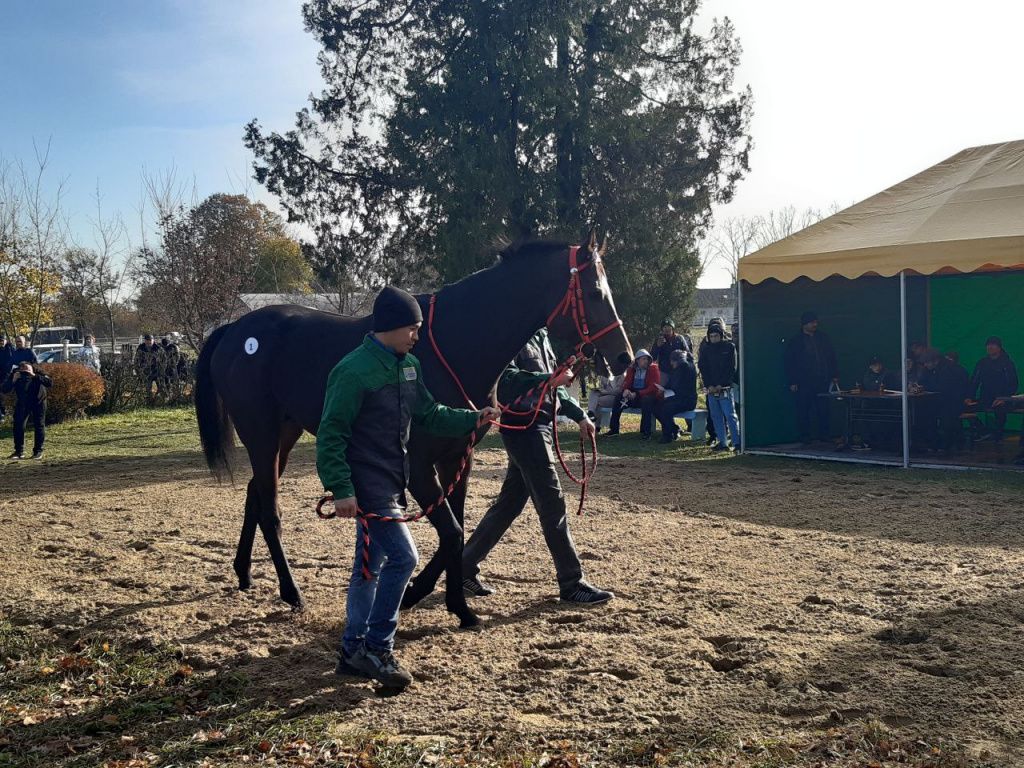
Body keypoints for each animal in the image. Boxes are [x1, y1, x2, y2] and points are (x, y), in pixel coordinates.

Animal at [193, 236, 630, 630]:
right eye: (595, 291)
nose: (624, 356)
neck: (454, 344)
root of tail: (235, 329)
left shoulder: (458, 459)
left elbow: (457, 529)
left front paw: (443, 600)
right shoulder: (418, 466)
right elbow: (451, 531)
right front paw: (430, 597)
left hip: (284, 434)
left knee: (254, 495)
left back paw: (244, 573)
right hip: (261, 434)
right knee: (270, 511)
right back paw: (291, 592)